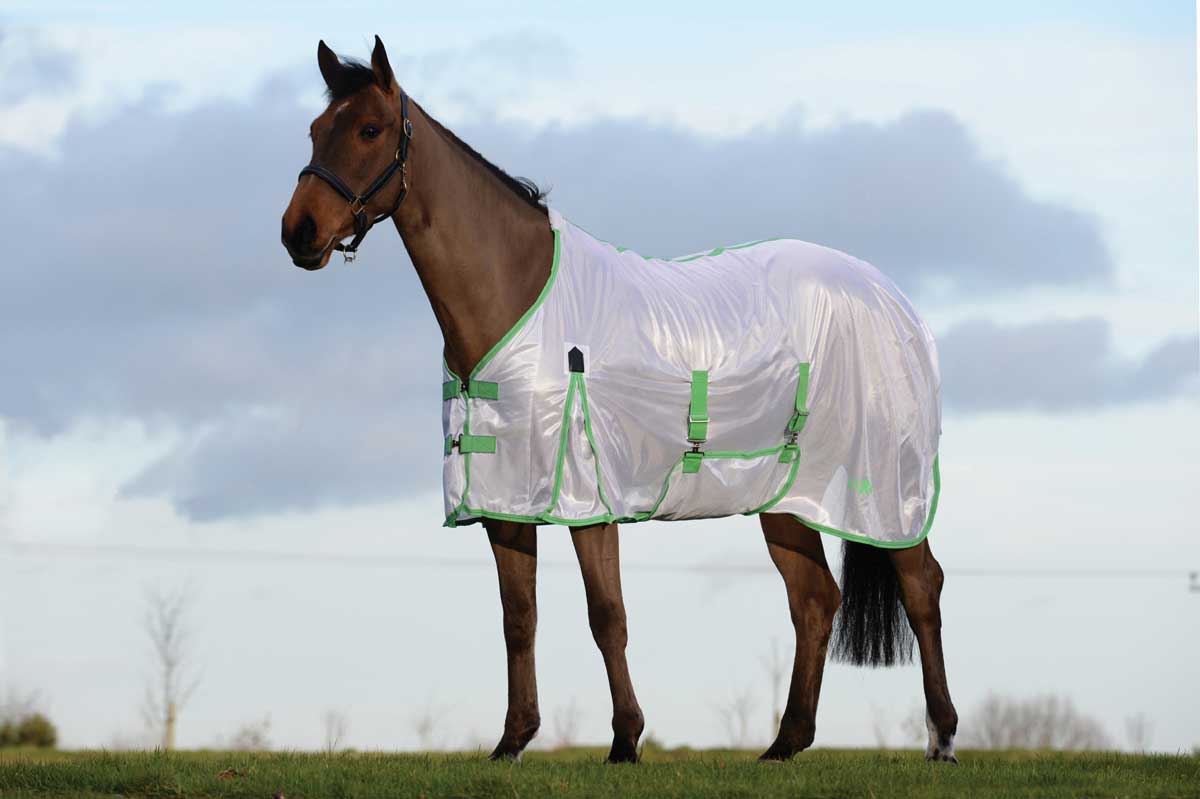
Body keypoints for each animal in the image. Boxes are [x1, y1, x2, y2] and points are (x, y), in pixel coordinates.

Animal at [281, 36, 958, 764]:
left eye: (369, 130)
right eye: (316, 130)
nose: (299, 231)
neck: (517, 295)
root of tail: (893, 299)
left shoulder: (587, 496)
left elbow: (606, 616)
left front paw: (626, 740)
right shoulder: (505, 500)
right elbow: (519, 618)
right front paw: (512, 739)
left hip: (886, 488)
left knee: (921, 586)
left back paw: (942, 737)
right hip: (786, 498)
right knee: (814, 601)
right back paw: (785, 742)